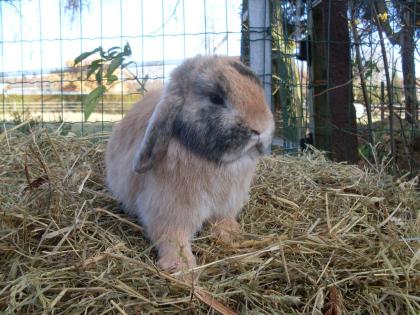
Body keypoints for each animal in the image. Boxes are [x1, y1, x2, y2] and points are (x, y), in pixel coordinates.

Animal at [106, 55, 276, 272]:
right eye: (215, 98)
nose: (261, 128)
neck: (216, 162)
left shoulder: (226, 205)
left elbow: (223, 221)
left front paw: (233, 236)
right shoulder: (169, 211)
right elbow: (173, 240)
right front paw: (183, 269)